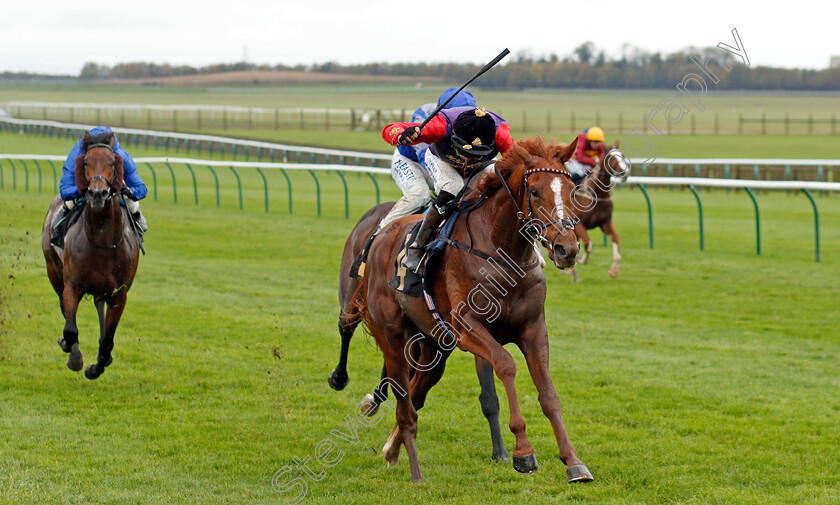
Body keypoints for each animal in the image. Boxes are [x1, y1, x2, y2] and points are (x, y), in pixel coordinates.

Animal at [41, 130, 141, 378]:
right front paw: (74, 356)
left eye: (113, 162)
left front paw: (97, 366)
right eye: (85, 161)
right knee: (64, 307)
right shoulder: (72, 285)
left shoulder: (119, 294)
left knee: (99, 306)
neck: (102, 243)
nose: (97, 193)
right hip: (53, 269)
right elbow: (70, 328)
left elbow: (108, 340)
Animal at [334, 137, 592, 480]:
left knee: (415, 392)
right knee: (370, 353)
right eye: (535, 191)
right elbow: (505, 365)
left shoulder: (534, 328)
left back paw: (391, 449)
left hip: (433, 345)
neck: (502, 252)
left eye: (571, 188)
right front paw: (523, 451)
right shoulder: (468, 328)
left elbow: (548, 394)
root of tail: (384, 232)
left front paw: (573, 461)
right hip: (387, 328)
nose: (567, 249)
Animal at [568, 144, 628, 282]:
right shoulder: (578, 224)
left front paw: (613, 271)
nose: (625, 173)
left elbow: (616, 238)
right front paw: (582, 260)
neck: (597, 194)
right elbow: (588, 244)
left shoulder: (605, 222)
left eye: (622, 155)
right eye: (611, 158)